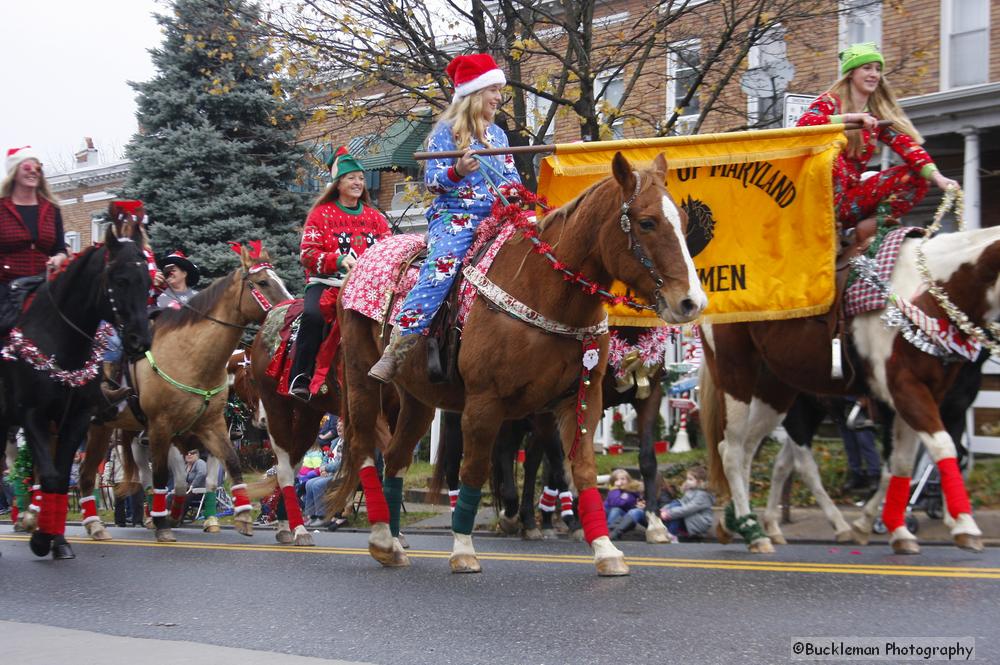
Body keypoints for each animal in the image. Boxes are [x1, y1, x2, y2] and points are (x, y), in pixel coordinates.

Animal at [0, 224, 152, 560]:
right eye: (120, 280)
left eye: (148, 280)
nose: (140, 340)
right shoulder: (33, 415)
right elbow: (52, 475)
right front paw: (41, 539)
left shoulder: (77, 418)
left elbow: (60, 475)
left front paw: (56, 540)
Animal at [332, 152, 708, 576]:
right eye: (646, 222)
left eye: (683, 219)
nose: (691, 302)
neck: (546, 290)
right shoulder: (486, 402)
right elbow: (476, 468)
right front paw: (464, 548)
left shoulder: (580, 399)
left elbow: (582, 469)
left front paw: (605, 549)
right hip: (363, 382)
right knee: (366, 449)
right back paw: (382, 536)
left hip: (418, 398)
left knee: (395, 459)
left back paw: (394, 543)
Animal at [700, 224, 996, 556]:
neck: (927, 296)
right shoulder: (907, 393)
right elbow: (937, 450)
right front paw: (962, 525)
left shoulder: (928, 401)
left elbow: (904, 462)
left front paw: (896, 528)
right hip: (738, 380)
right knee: (740, 452)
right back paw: (757, 532)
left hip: (776, 393)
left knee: (754, 452)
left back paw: (739, 522)